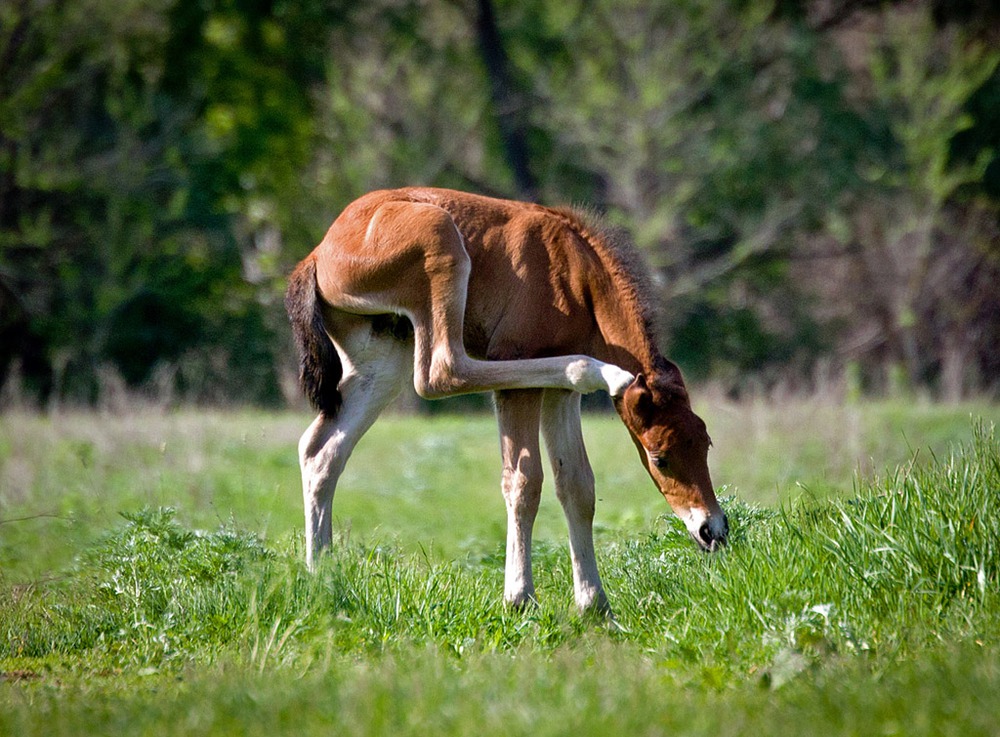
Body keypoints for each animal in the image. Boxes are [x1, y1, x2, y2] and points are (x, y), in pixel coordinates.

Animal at [286, 187, 732, 612]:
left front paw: (594, 605)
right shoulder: (519, 378)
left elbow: (577, 487)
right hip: (439, 240)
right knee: (441, 372)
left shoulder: (562, 398)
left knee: (322, 449)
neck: (577, 276)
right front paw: (520, 598)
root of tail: (317, 252)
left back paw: (322, 574)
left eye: (706, 445)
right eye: (660, 457)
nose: (712, 530)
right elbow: (524, 481)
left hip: (382, 357)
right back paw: (598, 371)